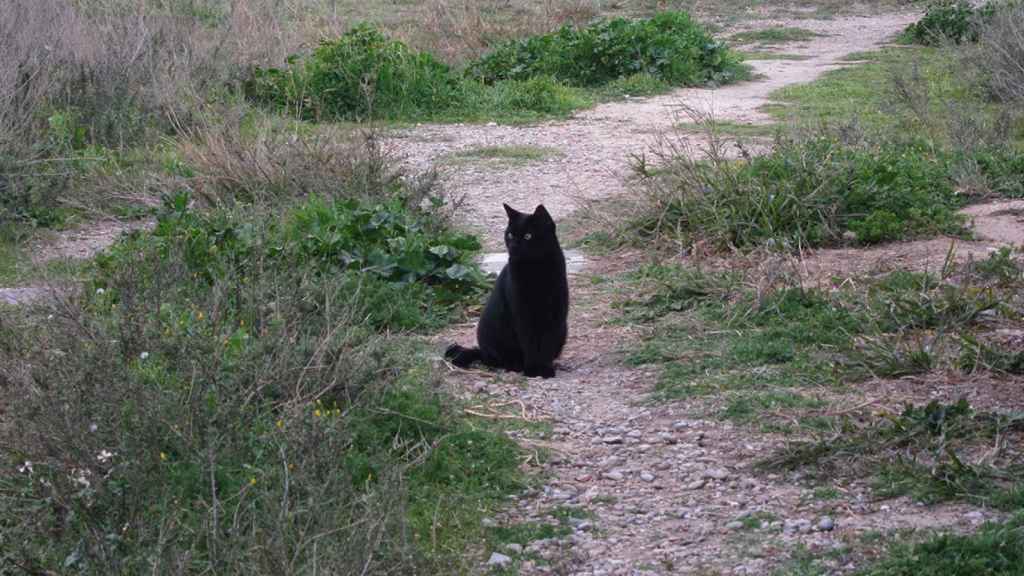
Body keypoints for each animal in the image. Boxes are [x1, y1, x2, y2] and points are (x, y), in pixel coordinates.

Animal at [442, 201, 569, 377]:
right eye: (510, 235)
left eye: (528, 236)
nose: (514, 245)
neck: (535, 269)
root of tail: (482, 352)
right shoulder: (522, 314)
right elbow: (530, 343)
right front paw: (533, 369)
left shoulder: (555, 314)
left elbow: (547, 344)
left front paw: (545, 369)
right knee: (494, 360)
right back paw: (515, 365)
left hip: (564, 329)